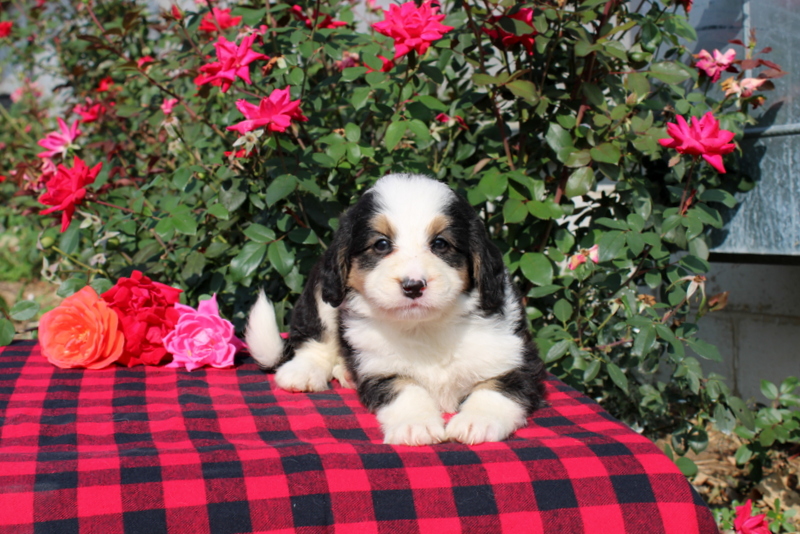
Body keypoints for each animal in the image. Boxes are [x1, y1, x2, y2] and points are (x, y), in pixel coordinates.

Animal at [247, 174, 548, 446]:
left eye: (440, 243)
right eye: (381, 244)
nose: (413, 286)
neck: (426, 327)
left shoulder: (515, 357)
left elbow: (498, 388)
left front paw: (477, 421)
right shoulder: (380, 368)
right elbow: (406, 389)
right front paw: (416, 425)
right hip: (323, 294)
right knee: (315, 336)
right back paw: (305, 371)